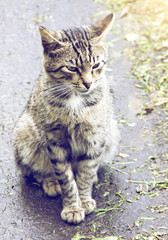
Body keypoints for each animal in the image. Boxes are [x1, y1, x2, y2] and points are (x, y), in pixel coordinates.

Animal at [13, 12, 119, 223]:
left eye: (96, 65)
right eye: (71, 68)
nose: (88, 83)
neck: (76, 102)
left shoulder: (95, 138)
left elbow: (86, 172)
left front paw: (84, 199)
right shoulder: (55, 141)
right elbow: (66, 179)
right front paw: (72, 207)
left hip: (111, 132)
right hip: (25, 134)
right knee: (34, 170)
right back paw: (51, 182)